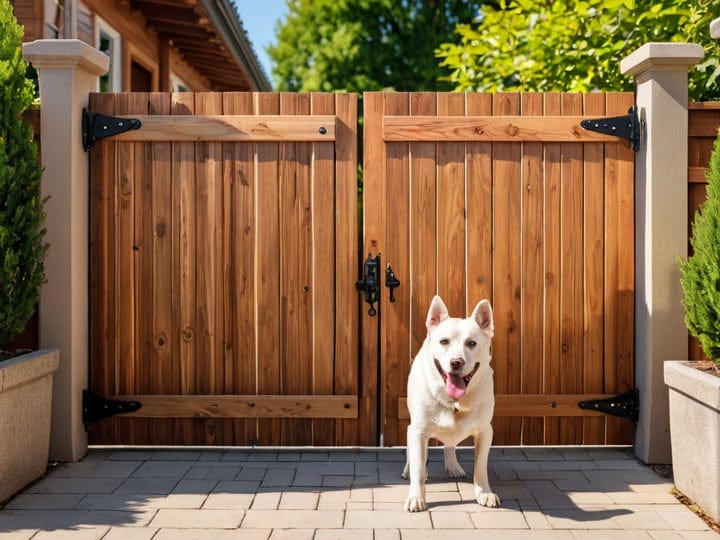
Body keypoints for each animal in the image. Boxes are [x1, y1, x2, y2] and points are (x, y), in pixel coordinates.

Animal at [402, 296, 498, 510]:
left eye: (471, 343)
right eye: (444, 341)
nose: (456, 362)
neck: (455, 402)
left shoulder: (485, 431)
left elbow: (481, 465)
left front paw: (484, 492)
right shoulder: (418, 430)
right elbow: (418, 467)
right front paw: (416, 497)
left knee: (449, 446)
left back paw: (453, 466)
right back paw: (408, 468)